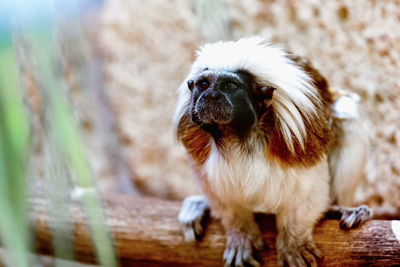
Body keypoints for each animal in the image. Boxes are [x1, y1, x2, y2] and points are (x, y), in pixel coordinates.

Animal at [173, 37, 374, 267]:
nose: (210, 95)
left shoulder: (299, 142)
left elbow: (307, 193)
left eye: (230, 86)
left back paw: (339, 208)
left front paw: (294, 242)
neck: (237, 137)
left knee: (347, 113)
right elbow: (227, 200)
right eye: (204, 84)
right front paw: (241, 235)